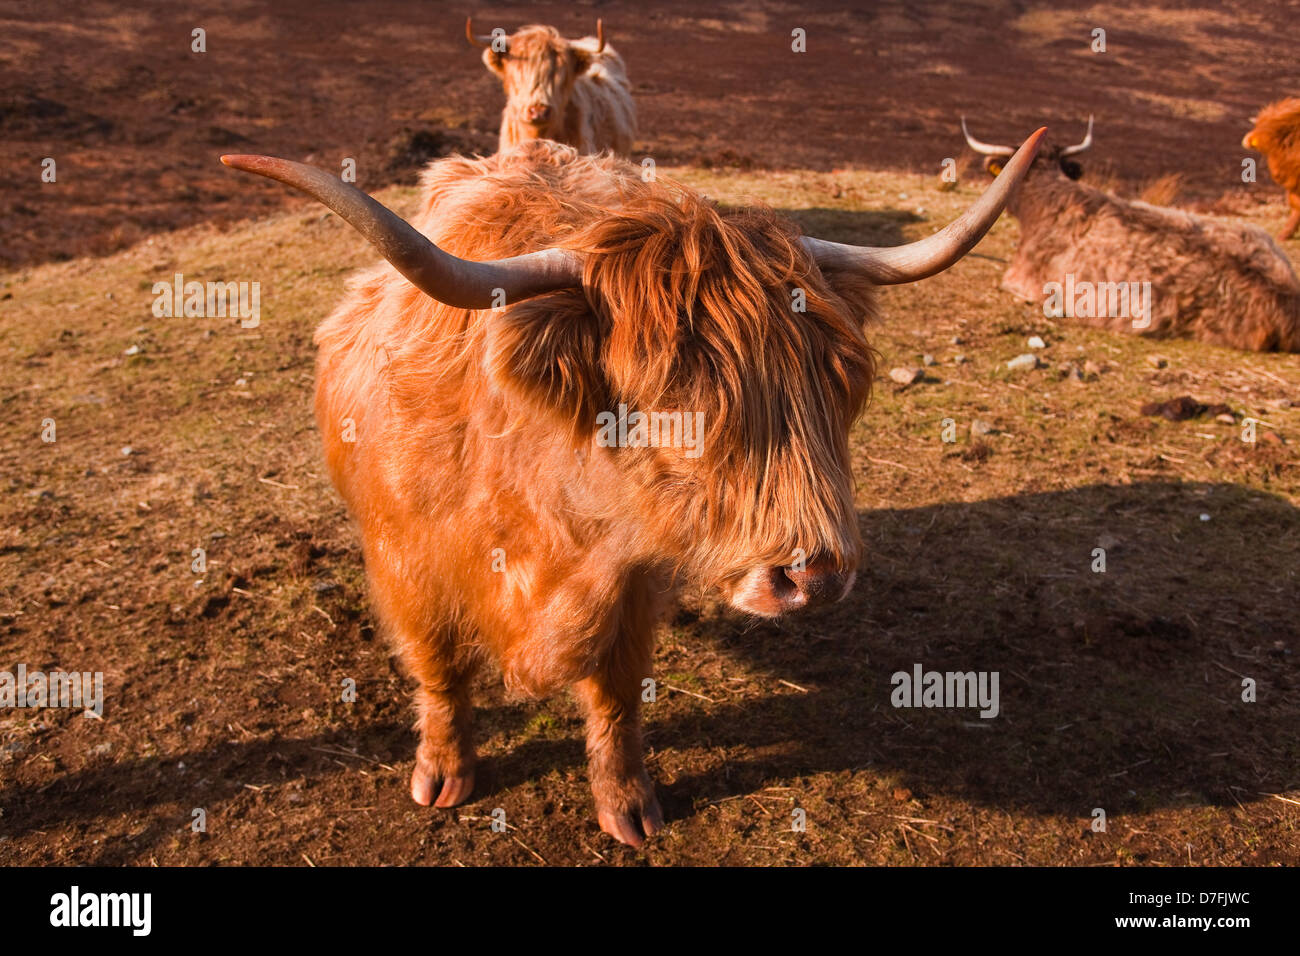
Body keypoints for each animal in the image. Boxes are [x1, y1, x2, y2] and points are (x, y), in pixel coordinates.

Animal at [220, 128, 1044, 845]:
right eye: (670, 394)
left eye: (834, 380)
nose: (811, 576)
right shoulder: (410, 568)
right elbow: (440, 670)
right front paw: (444, 774)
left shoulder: (633, 583)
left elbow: (616, 692)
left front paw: (627, 806)